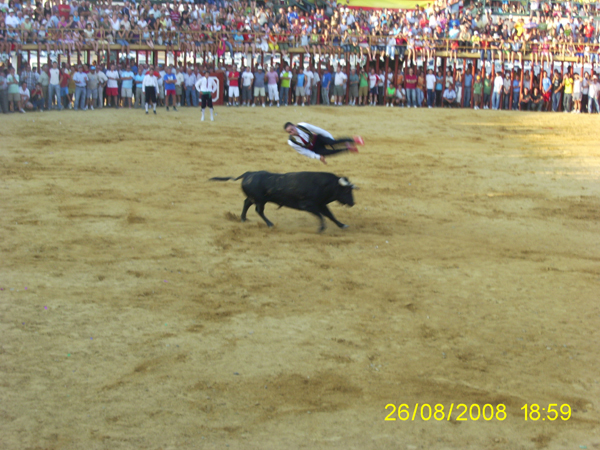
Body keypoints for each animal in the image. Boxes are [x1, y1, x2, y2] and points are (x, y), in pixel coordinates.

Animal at [210, 171, 356, 232]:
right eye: (346, 191)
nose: (353, 203)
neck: (323, 185)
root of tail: (248, 174)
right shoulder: (308, 205)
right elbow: (321, 216)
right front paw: (321, 228)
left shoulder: (321, 204)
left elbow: (330, 215)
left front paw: (342, 225)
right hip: (260, 200)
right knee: (259, 210)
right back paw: (270, 224)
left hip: (255, 198)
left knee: (246, 203)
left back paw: (243, 218)